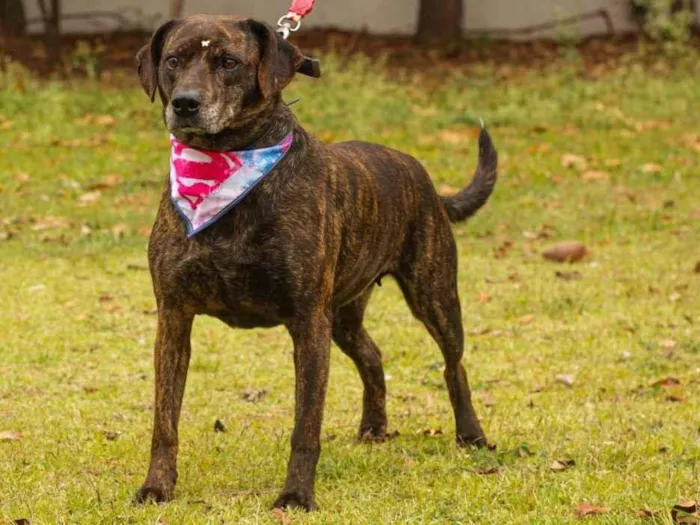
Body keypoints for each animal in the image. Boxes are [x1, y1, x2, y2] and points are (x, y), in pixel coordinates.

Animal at [133, 14, 498, 510]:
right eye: (173, 60)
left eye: (228, 62)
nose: (186, 103)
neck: (225, 160)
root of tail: (422, 177)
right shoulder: (173, 317)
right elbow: (165, 420)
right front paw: (157, 486)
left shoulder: (308, 323)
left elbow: (305, 426)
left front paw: (296, 495)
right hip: (344, 316)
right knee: (372, 356)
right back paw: (373, 428)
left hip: (433, 295)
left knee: (453, 365)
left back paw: (471, 435)